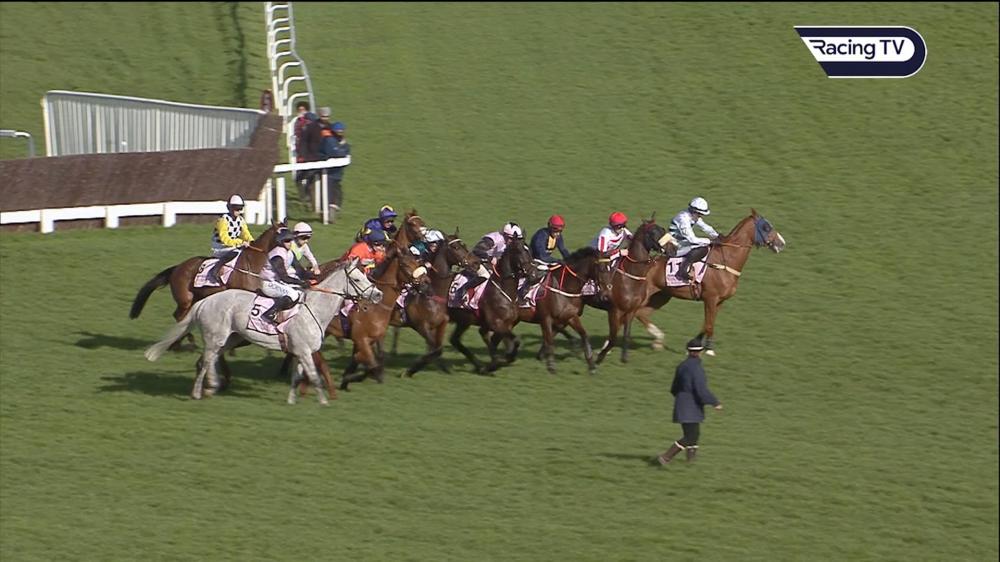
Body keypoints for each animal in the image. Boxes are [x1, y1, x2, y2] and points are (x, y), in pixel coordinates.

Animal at [144, 258, 381, 403]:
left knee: (207, 360)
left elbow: (298, 377)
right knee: (205, 361)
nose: (378, 294)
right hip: (215, 338)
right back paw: (198, 392)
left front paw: (292, 400)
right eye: (357, 278)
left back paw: (211, 387)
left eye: (365, 275)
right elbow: (314, 376)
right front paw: (323, 401)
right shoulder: (305, 351)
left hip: (229, 339)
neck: (314, 309)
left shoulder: (299, 352)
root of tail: (205, 302)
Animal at [448, 238, 543, 374]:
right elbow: (513, 340)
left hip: (463, 321)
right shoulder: (496, 324)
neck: (502, 291)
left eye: (529, 250)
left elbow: (498, 341)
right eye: (519, 251)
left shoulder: (506, 324)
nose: (535, 274)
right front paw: (501, 360)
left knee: (455, 340)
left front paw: (502, 359)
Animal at [591, 218, 672, 364]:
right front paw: (602, 353)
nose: (673, 248)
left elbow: (626, 334)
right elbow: (613, 336)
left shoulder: (631, 310)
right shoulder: (615, 310)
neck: (630, 275)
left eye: (662, 229)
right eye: (653, 233)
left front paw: (624, 358)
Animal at [634, 209, 786, 354]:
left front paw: (697, 344)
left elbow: (707, 324)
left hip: (661, 296)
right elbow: (709, 325)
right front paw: (709, 350)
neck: (725, 261)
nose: (782, 243)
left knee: (640, 313)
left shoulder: (719, 301)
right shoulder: (710, 298)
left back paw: (657, 340)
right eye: (766, 227)